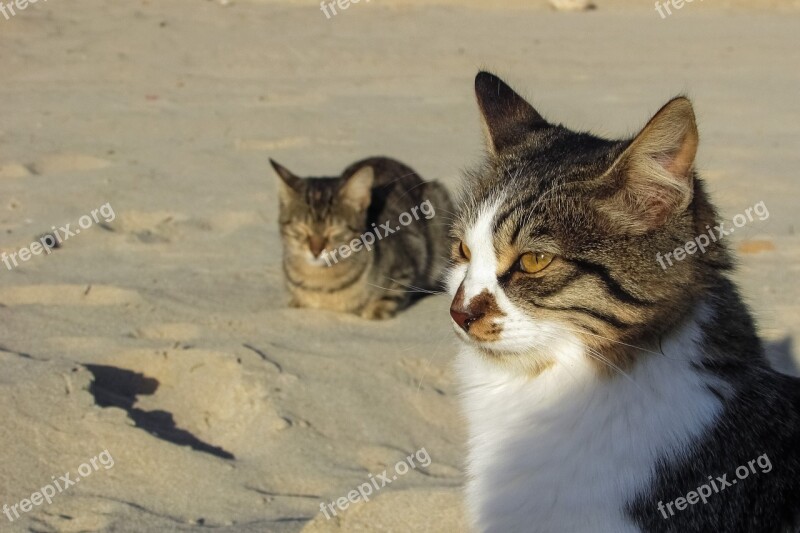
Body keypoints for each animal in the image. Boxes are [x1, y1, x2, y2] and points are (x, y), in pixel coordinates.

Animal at [274, 156, 450, 318]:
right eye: (301, 227)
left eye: (334, 229)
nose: (316, 251)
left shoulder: (410, 258)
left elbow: (390, 298)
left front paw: (375, 309)